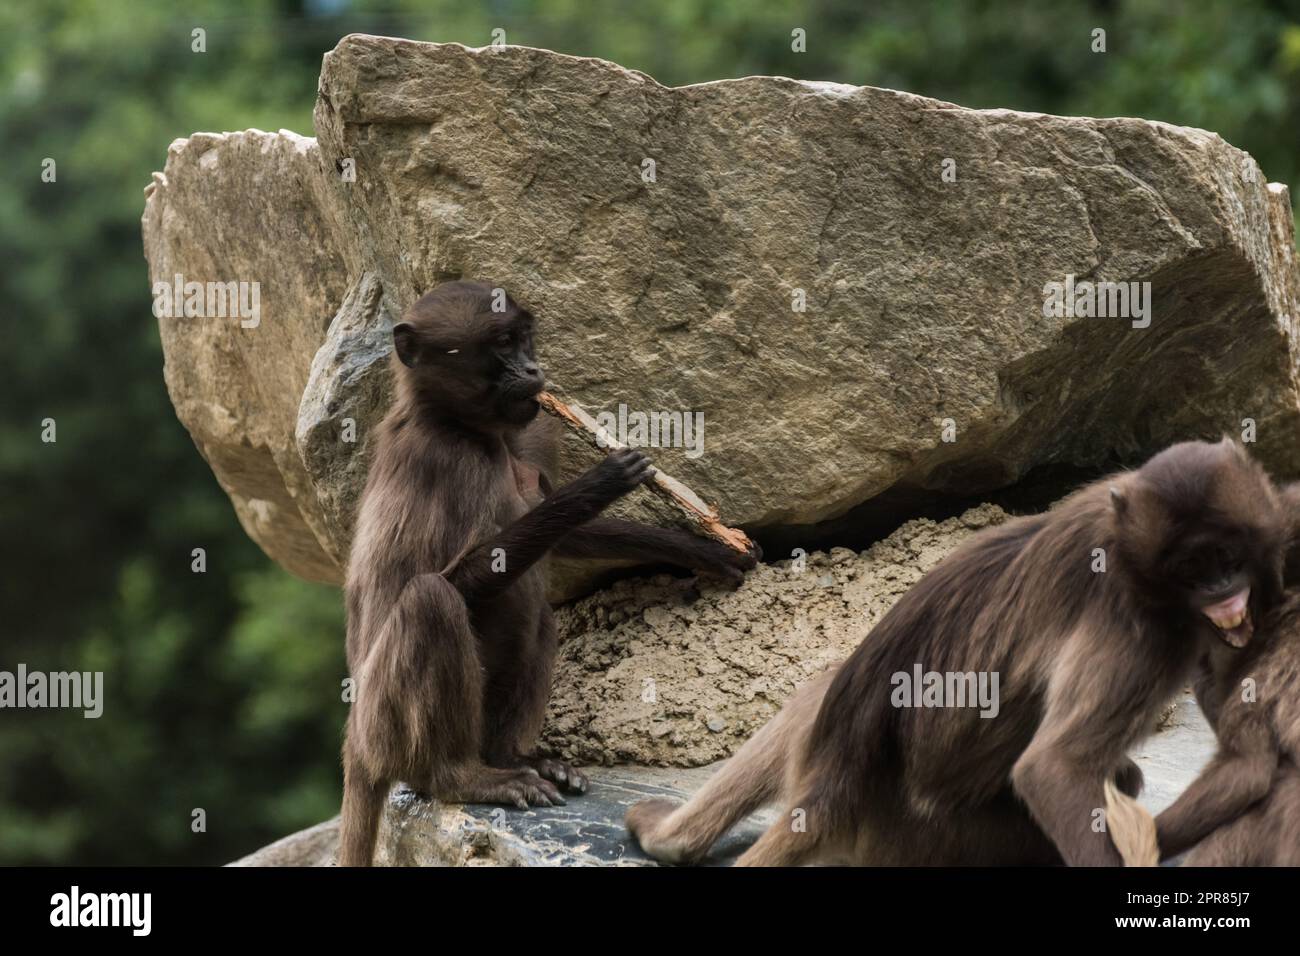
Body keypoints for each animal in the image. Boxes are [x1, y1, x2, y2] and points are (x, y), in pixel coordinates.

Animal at [340, 278, 759, 868]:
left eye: (523, 338)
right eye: (502, 343)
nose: (535, 370)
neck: (467, 428)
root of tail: (355, 744)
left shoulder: (528, 432)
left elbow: (559, 538)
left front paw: (701, 548)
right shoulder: (443, 459)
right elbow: (463, 576)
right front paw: (600, 483)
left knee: (536, 611)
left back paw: (516, 757)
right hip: (384, 721)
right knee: (431, 600)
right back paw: (463, 777)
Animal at [624, 439, 1284, 868]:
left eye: (1226, 556)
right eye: (1192, 567)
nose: (1224, 592)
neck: (1122, 541)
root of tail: (834, 791)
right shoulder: (1141, 628)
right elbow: (1053, 770)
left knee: (815, 692)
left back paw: (670, 840)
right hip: (934, 840)